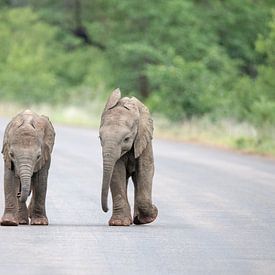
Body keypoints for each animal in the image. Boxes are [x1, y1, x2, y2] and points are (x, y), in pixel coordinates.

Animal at [99, 88, 160, 226]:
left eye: (126, 139)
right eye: (100, 138)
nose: (106, 209)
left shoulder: (144, 140)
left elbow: (145, 170)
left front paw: (153, 214)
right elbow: (116, 172)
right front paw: (119, 223)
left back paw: (139, 220)